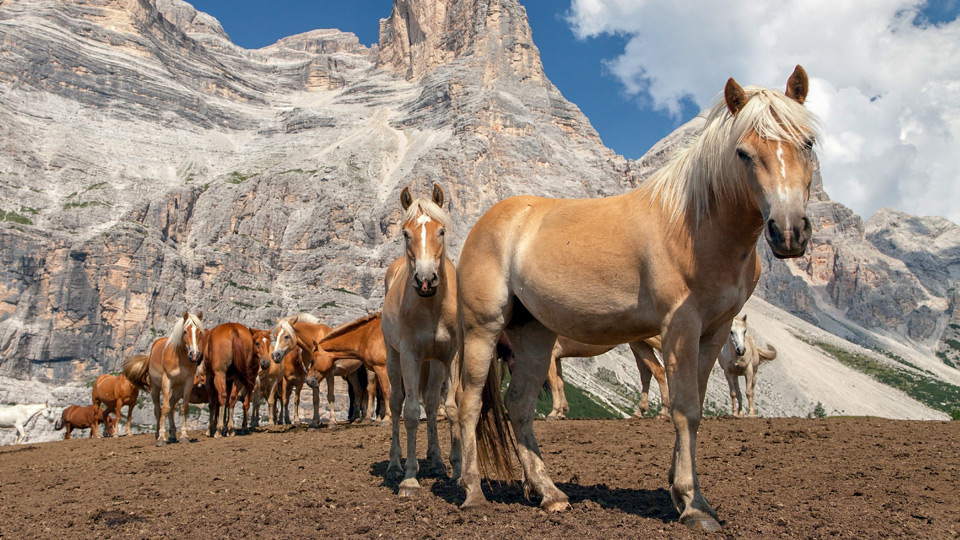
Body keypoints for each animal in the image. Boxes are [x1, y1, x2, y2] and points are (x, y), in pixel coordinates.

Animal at [124, 310, 204, 446]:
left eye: (199, 332)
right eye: (185, 331)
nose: (194, 355)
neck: (179, 358)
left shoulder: (188, 383)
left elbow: (184, 408)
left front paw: (184, 436)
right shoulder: (167, 381)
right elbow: (164, 409)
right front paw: (161, 438)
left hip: (177, 390)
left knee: (172, 407)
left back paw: (172, 435)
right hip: (156, 389)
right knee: (158, 409)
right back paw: (158, 435)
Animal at [378, 184, 462, 496]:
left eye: (441, 231)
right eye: (405, 233)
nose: (425, 280)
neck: (432, 307)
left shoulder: (450, 355)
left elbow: (451, 408)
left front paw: (458, 470)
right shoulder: (410, 355)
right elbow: (412, 412)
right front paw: (410, 478)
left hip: (433, 364)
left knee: (432, 402)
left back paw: (437, 461)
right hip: (393, 358)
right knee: (396, 403)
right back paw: (395, 466)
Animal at [544, 336, 672, 420]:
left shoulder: (551, 355)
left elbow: (553, 382)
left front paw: (554, 412)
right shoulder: (557, 357)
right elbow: (560, 383)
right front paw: (561, 412)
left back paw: (664, 412)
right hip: (639, 343)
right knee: (650, 372)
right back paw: (640, 411)